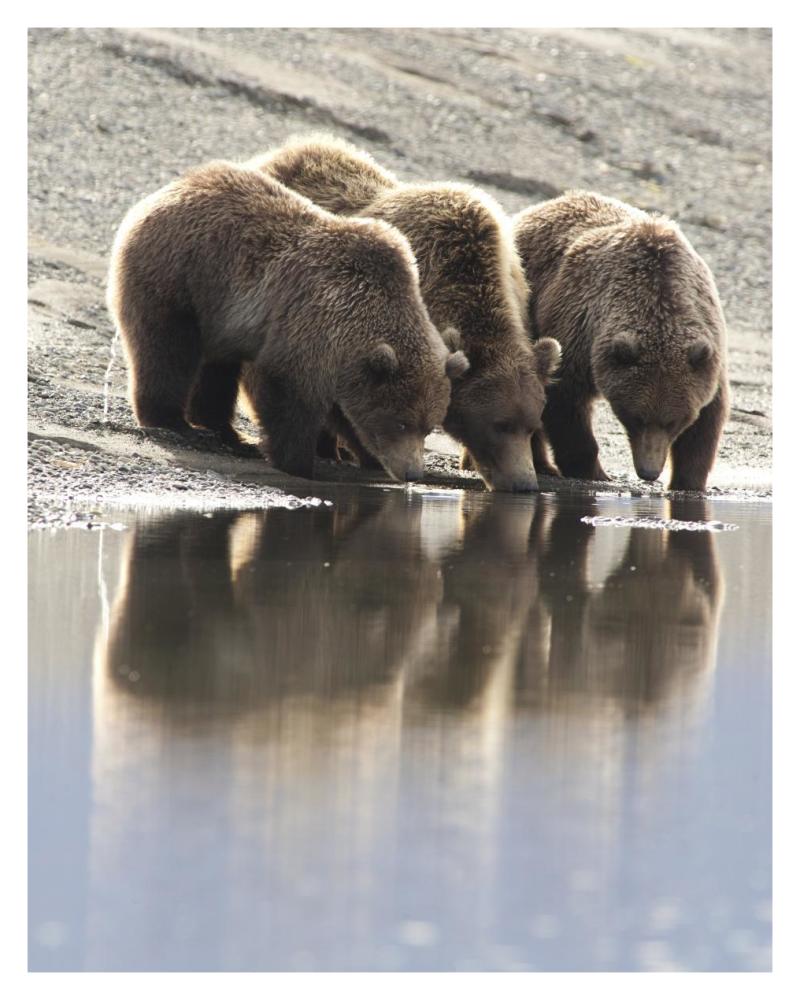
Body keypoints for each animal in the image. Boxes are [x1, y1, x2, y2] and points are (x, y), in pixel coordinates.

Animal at [107, 160, 469, 482]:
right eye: (402, 422)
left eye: (429, 426)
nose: (413, 473)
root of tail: (170, 188)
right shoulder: (311, 329)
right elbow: (290, 396)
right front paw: (298, 461)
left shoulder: (345, 362)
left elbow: (347, 412)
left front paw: (367, 456)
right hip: (182, 276)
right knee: (166, 350)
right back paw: (170, 419)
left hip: (219, 313)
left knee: (217, 368)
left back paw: (224, 431)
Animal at [513, 190, 730, 492]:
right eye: (635, 418)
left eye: (674, 421)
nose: (649, 472)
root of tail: (542, 206)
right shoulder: (580, 332)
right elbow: (565, 401)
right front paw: (592, 470)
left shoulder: (707, 351)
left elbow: (708, 419)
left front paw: (687, 481)